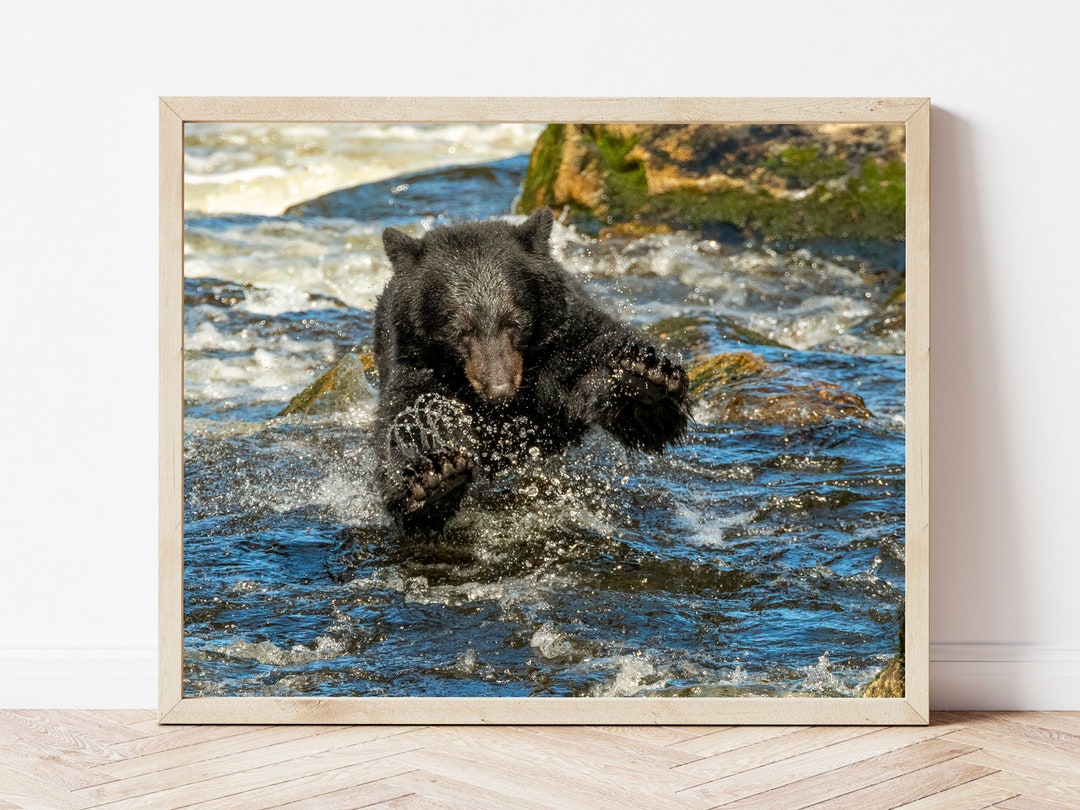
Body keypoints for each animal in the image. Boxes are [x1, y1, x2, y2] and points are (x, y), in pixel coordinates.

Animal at [373, 206, 690, 532]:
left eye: (515, 322)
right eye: (461, 331)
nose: (499, 391)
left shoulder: (564, 340)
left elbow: (597, 367)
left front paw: (645, 378)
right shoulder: (417, 365)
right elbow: (410, 415)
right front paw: (434, 479)